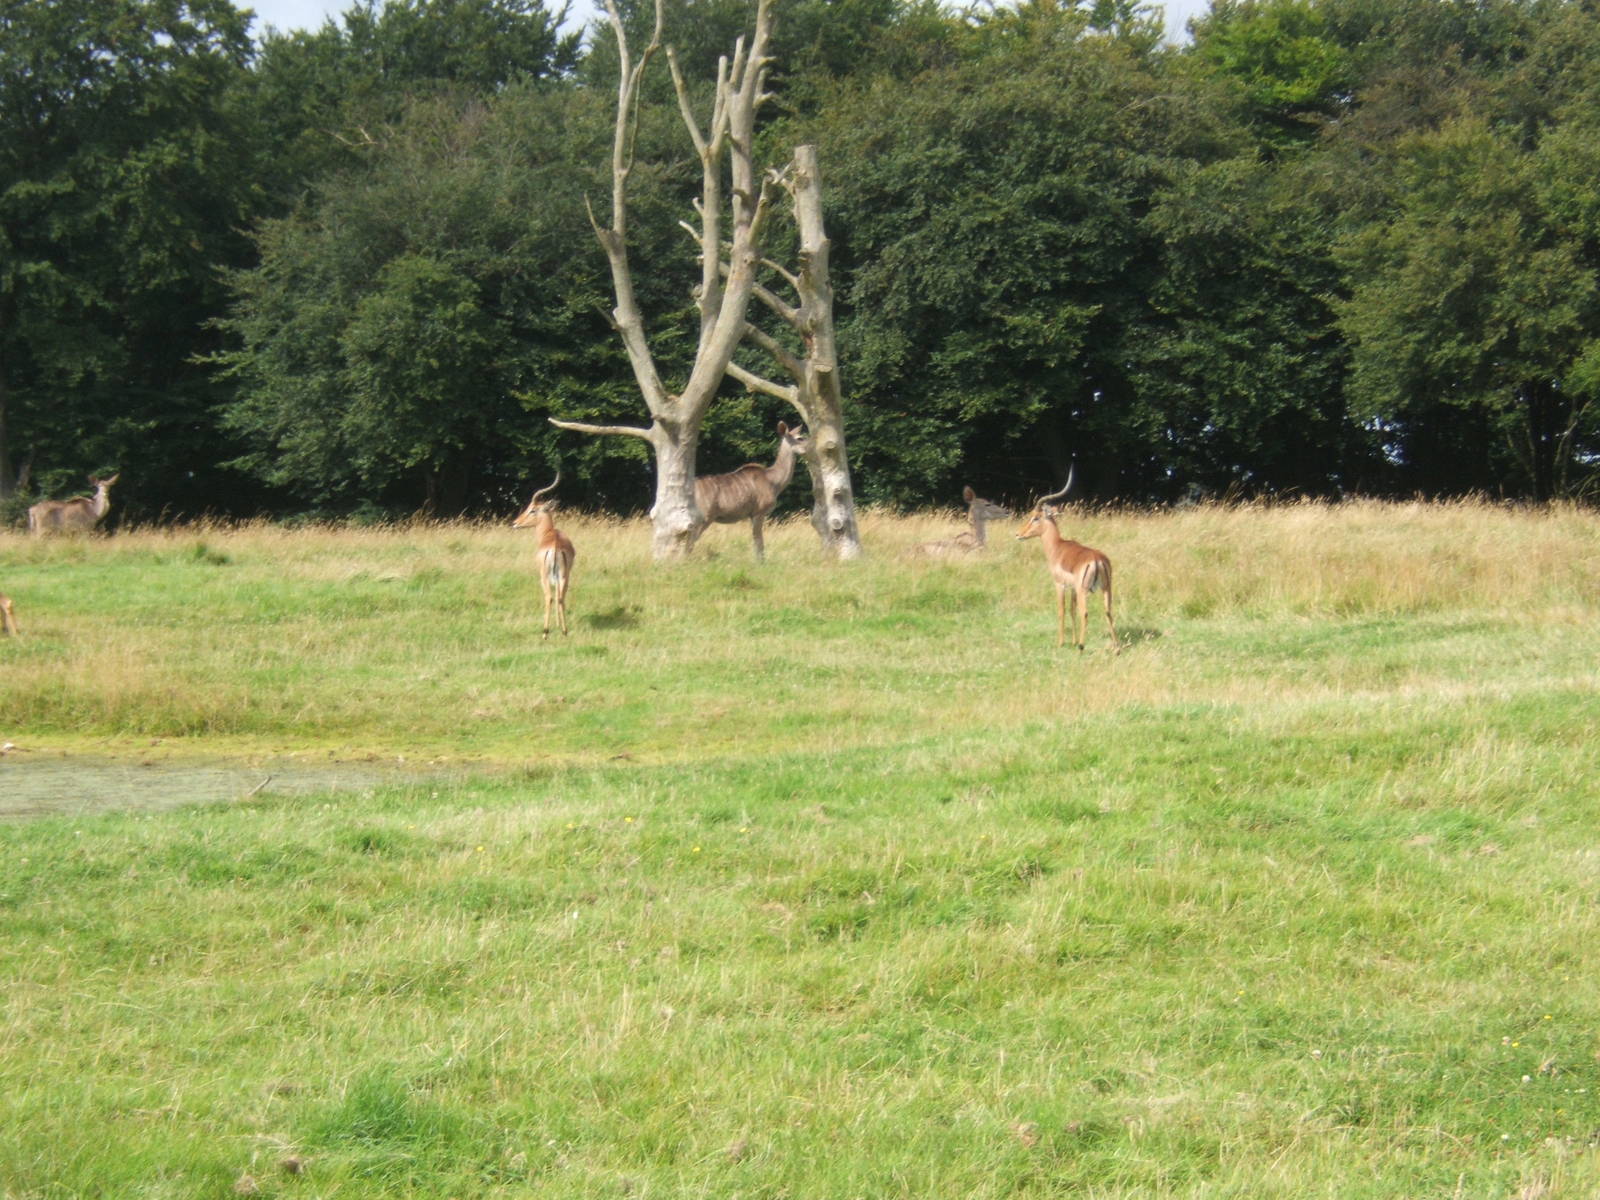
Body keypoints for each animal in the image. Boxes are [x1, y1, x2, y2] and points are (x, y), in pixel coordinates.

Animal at [513, 474, 576, 639]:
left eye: (532, 510)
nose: (515, 523)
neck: (549, 534)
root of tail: (555, 546)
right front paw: (559, 625)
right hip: (564, 575)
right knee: (560, 597)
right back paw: (565, 631)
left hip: (544, 576)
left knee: (549, 597)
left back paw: (545, 633)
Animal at [695, 421, 809, 561]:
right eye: (800, 438)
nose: (811, 446)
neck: (774, 481)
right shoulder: (759, 511)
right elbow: (759, 541)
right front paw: (760, 562)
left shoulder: (751, 515)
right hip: (704, 517)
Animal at [1015, 470, 1119, 654]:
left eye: (1035, 518)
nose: (1019, 534)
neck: (1057, 547)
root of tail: (1097, 559)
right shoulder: (1071, 588)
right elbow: (1071, 610)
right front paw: (1072, 640)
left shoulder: (1060, 585)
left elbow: (1062, 610)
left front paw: (1061, 642)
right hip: (1106, 588)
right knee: (1108, 611)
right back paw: (1116, 648)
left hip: (1084, 590)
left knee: (1085, 613)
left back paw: (1082, 646)